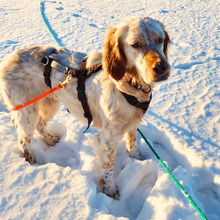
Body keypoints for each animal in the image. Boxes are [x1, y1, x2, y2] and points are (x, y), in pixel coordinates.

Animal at [0, 16, 170, 197]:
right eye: (135, 44)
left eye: (160, 40)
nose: (162, 68)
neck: (128, 85)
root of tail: (7, 59)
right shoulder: (108, 138)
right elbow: (108, 166)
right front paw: (110, 190)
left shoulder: (132, 124)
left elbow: (133, 143)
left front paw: (136, 157)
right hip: (27, 111)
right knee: (24, 140)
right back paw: (33, 162)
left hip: (50, 103)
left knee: (40, 125)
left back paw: (51, 140)